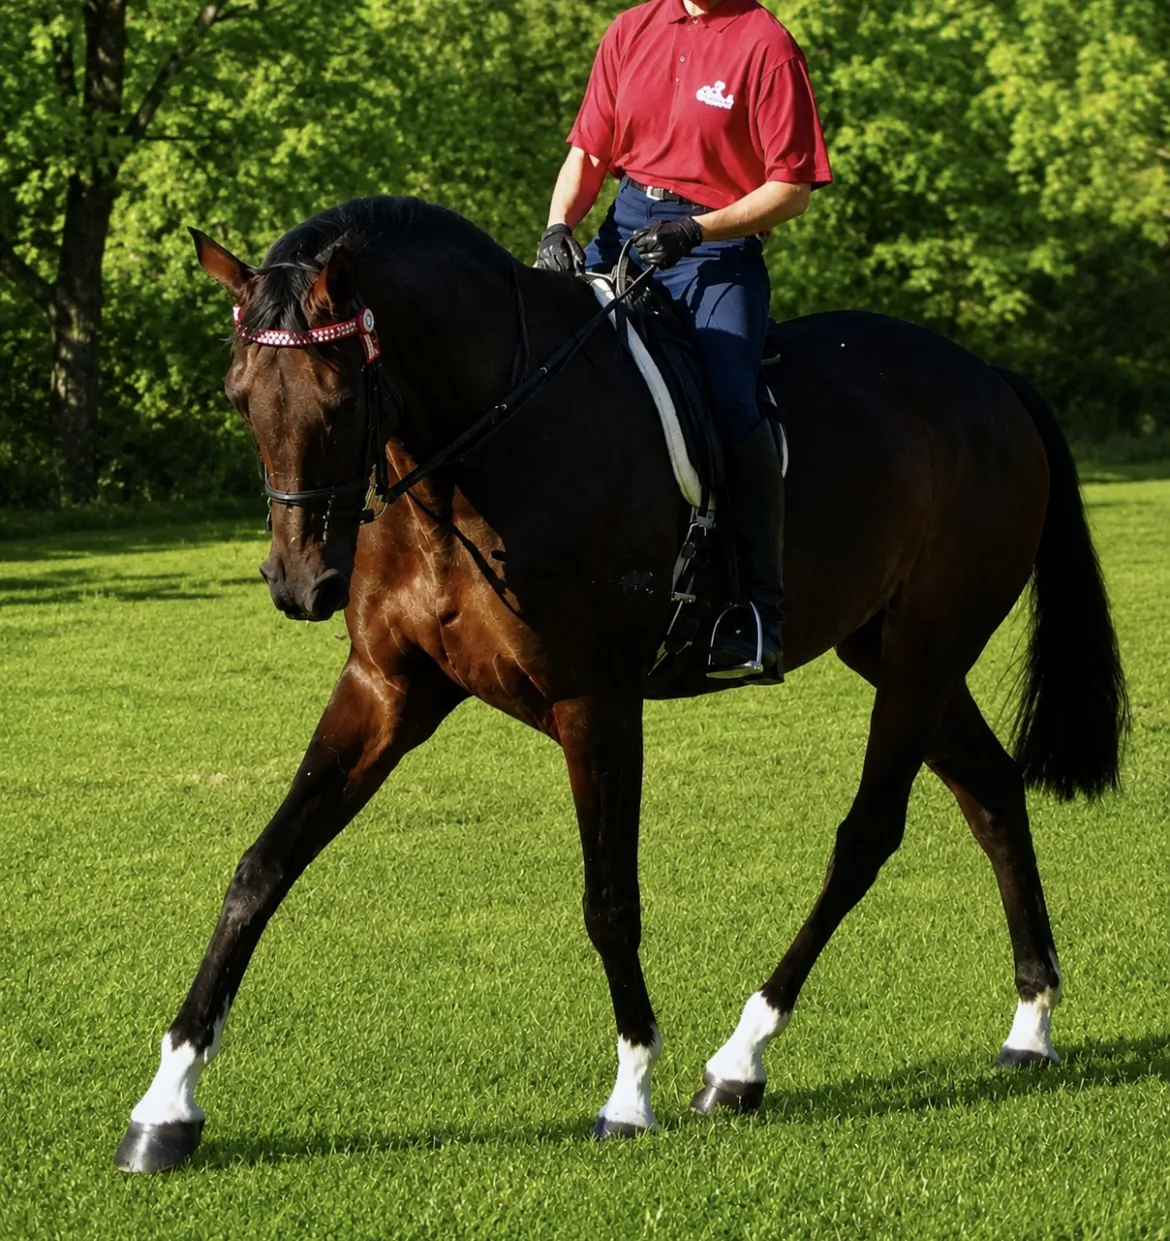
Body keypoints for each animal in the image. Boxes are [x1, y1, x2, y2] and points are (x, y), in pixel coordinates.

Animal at [115, 195, 1127, 1173]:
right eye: (240, 397)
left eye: (336, 396)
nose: (299, 584)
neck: (484, 451)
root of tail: (989, 380)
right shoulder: (385, 688)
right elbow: (262, 868)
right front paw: (166, 1102)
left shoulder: (594, 701)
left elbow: (609, 900)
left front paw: (631, 1091)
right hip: (896, 653)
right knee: (991, 790)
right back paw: (1030, 1023)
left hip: (922, 655)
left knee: (867, 837)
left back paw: (741, 1058)